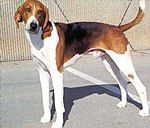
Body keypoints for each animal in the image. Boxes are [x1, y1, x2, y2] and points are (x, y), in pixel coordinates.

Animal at [14, 0, 149, 127]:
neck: (41, 37)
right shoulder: (42, 72)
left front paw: (58, 123)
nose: (33, 25)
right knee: (122, 83)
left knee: (141, 87)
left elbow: (58, 103)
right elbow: (45, 99)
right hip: (110, 64)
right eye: (27, 10)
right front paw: (47, 118)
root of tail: (117, 28)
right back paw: (123, 103)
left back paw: (145, 111)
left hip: (124, 64)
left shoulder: (56, 73)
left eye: (40, 12)